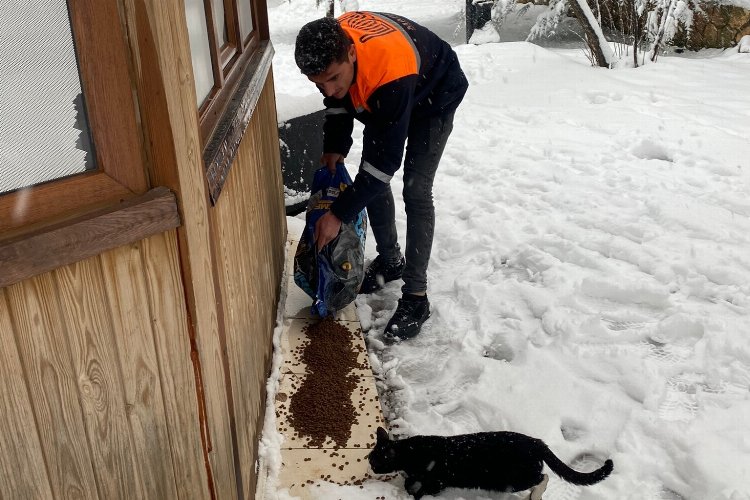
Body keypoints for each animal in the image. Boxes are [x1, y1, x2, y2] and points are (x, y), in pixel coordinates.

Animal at [368, 426, 612, 500]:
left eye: (374, 459)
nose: (370, 465)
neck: (412, 452)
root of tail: (536, 442)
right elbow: (411, 481)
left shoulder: (436, 480)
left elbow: (420, 489)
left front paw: (412, 494)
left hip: (511, 479)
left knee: (543, 477)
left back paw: (535, 495)